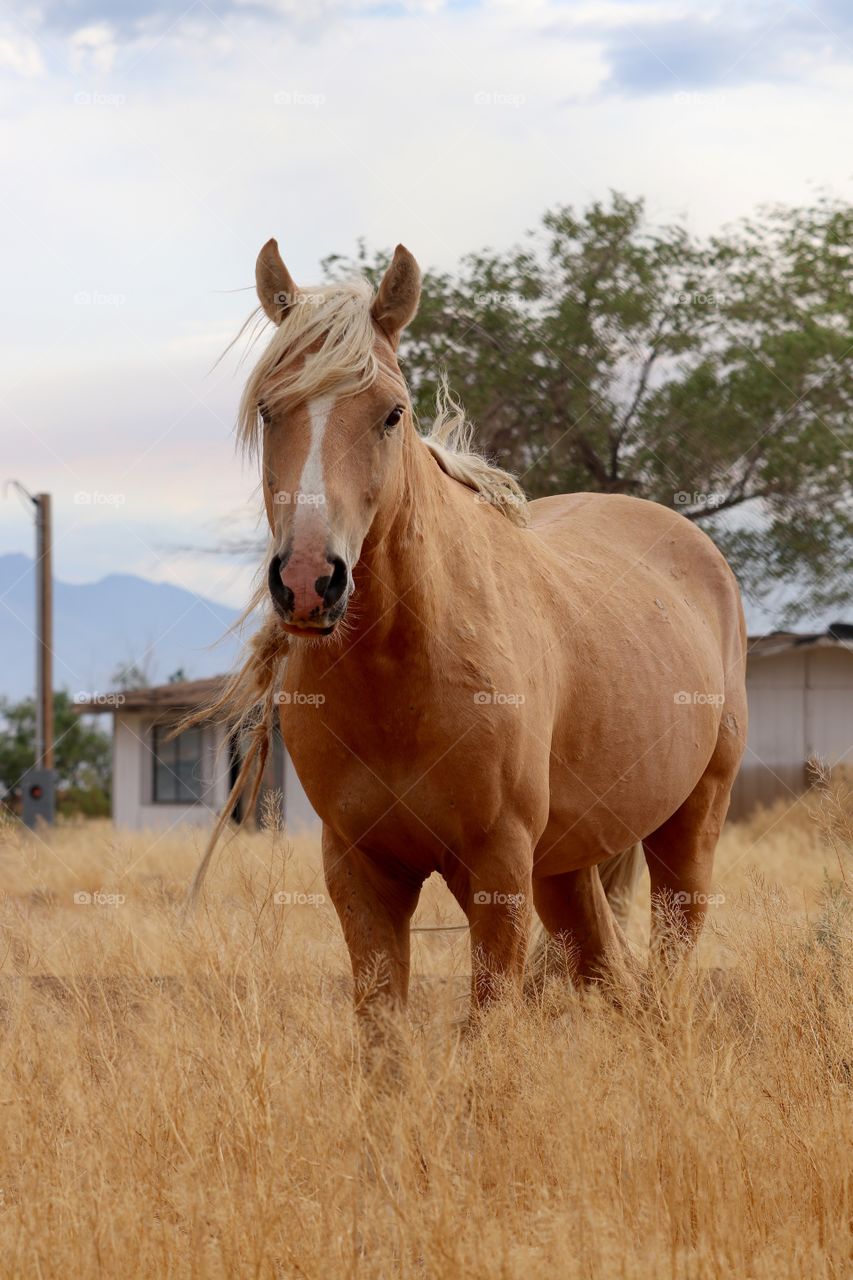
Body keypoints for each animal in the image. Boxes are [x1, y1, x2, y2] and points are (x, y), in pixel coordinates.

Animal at [190, 238, 742, 1018]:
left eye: (392, 413)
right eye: (269, 412)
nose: (307, 582)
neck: (400, 674)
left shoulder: (497, 869)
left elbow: (490, 1025)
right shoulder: (360, 869)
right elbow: (382, 1028)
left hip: (690, 825)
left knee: (669, 955)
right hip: (566, 863)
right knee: (609, 968)